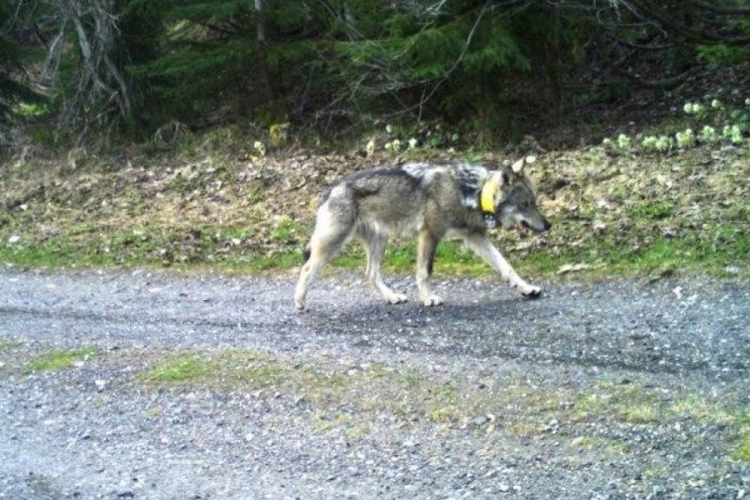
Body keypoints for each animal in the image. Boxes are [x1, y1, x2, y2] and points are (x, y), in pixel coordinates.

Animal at [296, 156, 552, 308]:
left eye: (535, 202)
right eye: (526, 204)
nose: (548, 225)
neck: (473, 193)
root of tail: (331, 187)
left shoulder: (475, 238)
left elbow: (506, 266)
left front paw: (527, 288)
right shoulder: (430, 234)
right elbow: (424, 272)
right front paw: (428, 298)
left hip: (380, 242)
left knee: (370, 273)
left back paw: (392, 297)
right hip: (333, 244)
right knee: (307, 268)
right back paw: (300, 302)